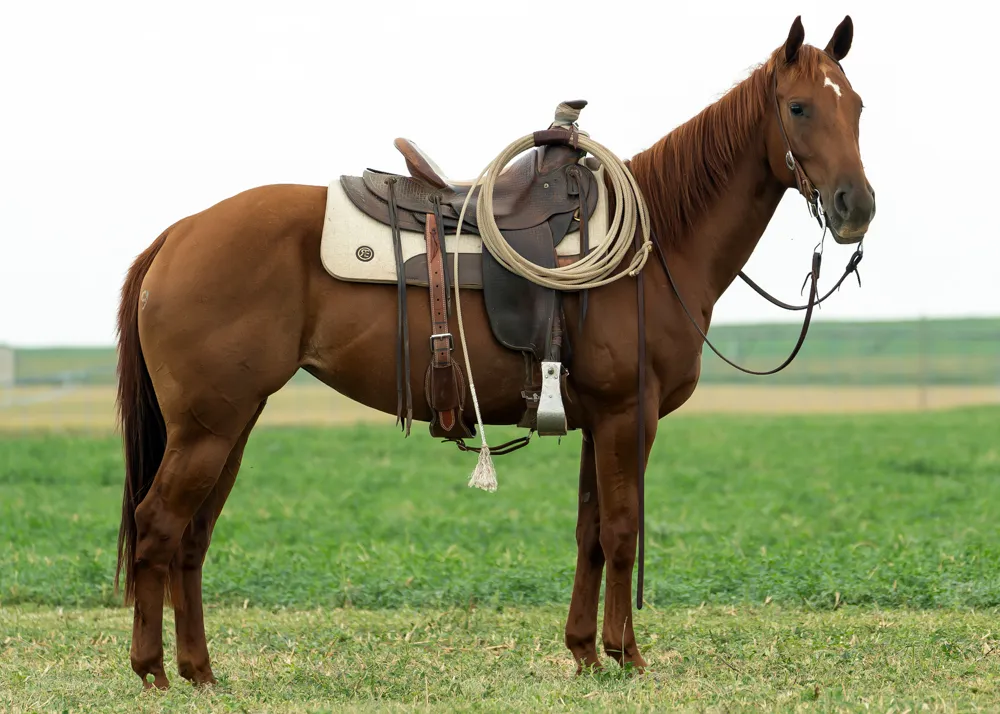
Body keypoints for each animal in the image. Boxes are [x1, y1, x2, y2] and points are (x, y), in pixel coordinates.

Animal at [113, 15, 875, 689]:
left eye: (858, 107)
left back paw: (201, 672)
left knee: (192, 536)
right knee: (158, 527)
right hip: (208, 428)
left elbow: (590, 532)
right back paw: (153, 671)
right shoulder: (629, 415)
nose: (855, 206)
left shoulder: (597, 420)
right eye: (799, 107)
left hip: (230, 425)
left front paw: (584, 652)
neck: (657, 245)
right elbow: (623, 530)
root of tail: (177, 234)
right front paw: (626, 655)